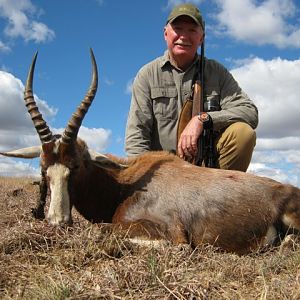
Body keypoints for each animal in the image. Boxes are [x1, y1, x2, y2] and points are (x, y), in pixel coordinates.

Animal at [0, 50, 300, 254]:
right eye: (43, 168)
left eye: (76, 165)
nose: (57, 223)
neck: (126, 183)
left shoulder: (172, 234)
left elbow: (105, 232)